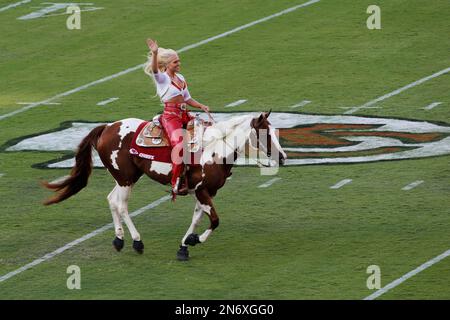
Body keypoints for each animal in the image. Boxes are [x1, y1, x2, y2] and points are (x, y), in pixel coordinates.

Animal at [44, 110, 286, 260]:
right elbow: (215, 220)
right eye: (265, 134)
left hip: (126, 178)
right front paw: (196, 240)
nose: (283, 158)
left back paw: (119, 240)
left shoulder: (206, 192)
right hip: (125, 178)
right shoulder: (201, 190)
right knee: (121, 205)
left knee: (112, 200)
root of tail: (106, 127)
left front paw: (185, 245)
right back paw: (137, 242)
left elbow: (197, 218)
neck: (215, 148)